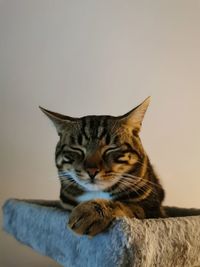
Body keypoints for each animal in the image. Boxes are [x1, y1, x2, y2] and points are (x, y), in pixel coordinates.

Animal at [39, 98, 165, 237]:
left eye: (111, 148)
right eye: (77, 149)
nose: (91, 171)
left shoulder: (154, 211)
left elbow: (129, 206)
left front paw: (92, 211)